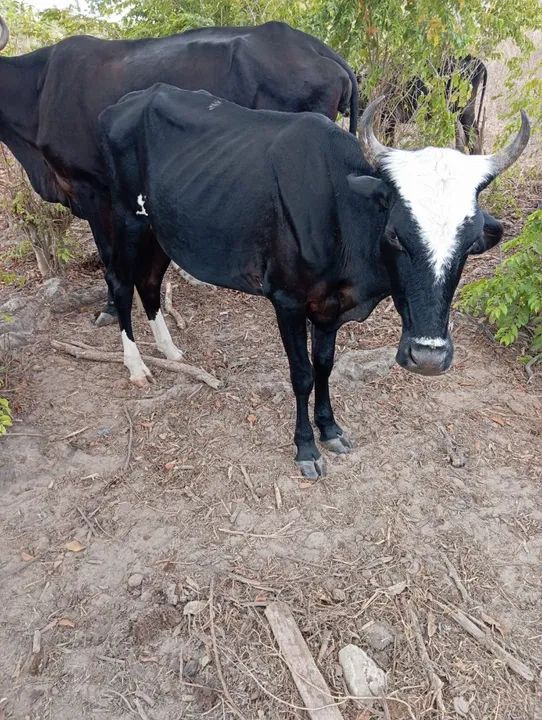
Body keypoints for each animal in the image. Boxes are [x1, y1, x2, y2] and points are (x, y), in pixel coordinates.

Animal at [97, 85, 529, 478]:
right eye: (394, 234)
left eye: (471, 242)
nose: (427, 357)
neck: (340, 209)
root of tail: (127, 101)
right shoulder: (286, 300)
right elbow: (302, 374)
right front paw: (306, 447)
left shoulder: (330, 308)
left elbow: (324, 365)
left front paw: (330, 429)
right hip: (125, 219)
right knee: (120, 283)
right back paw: (136, 365)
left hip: (160, 231)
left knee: (149, 282)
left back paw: (169, 350)